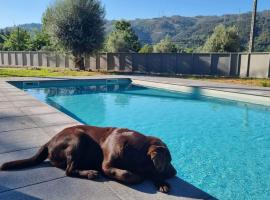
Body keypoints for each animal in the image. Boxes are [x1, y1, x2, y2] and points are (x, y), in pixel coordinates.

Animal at [0, 126, 177, 193]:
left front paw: (160, 182)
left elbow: (151, 171)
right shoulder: (106, 165)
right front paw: (137, 176)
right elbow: (125, 173)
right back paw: (89, 173)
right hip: (78, 137)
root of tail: (49, 142)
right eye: (169, 160)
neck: (133, 150)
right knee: (69, 171)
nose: (175, 172)